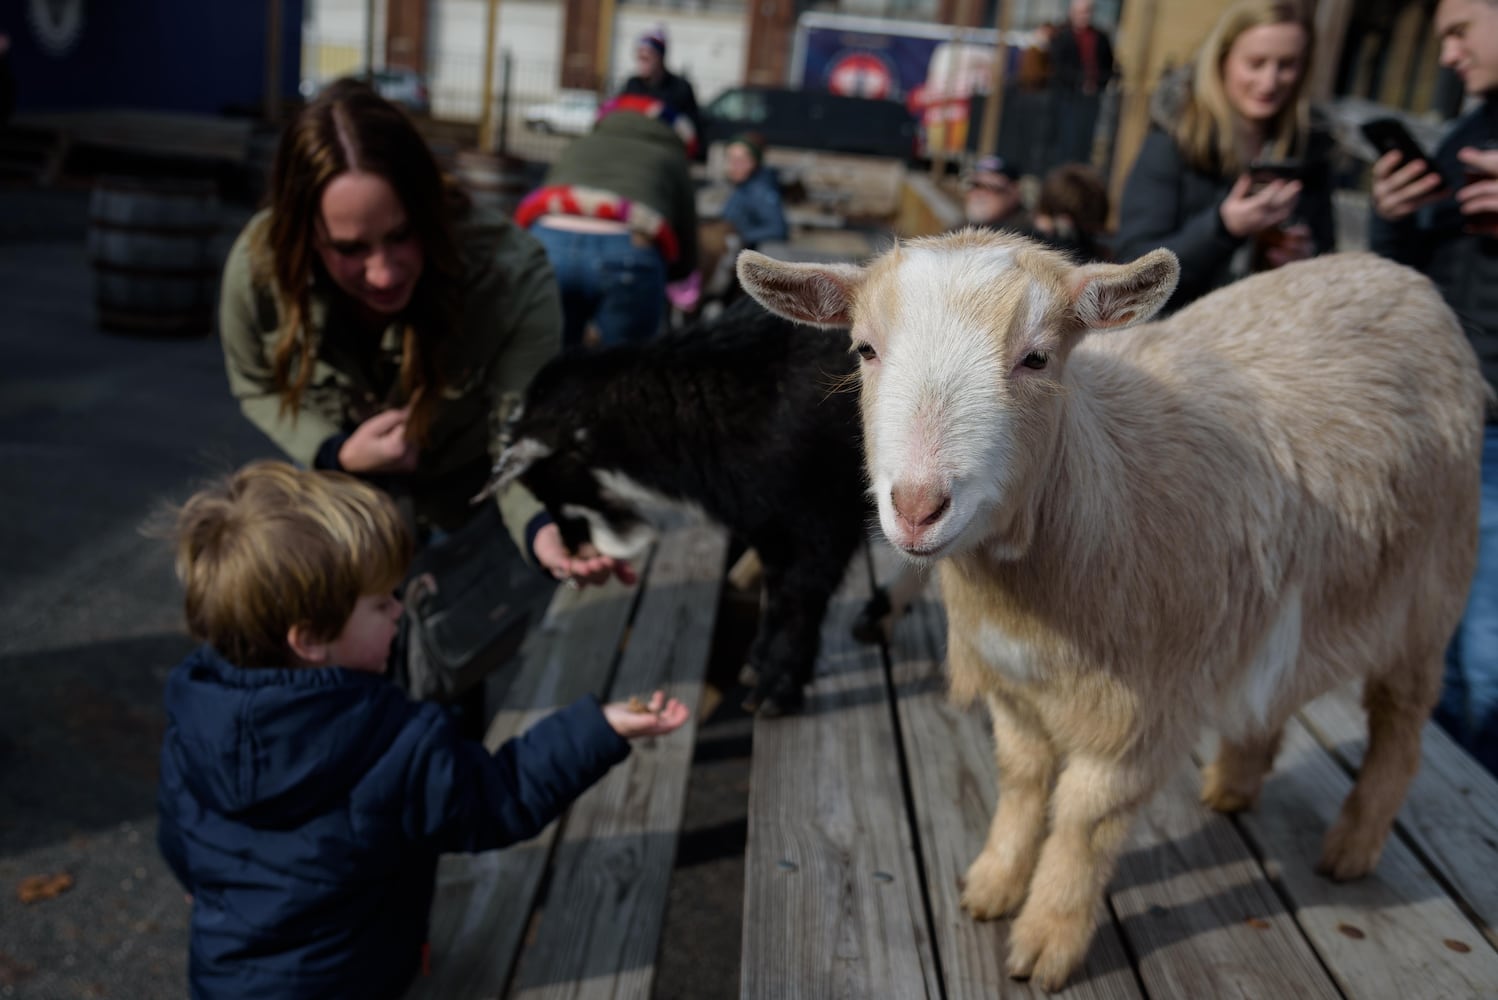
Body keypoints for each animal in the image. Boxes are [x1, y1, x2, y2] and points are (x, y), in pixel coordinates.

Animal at [485, 299, 874, 718]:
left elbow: (799, 597)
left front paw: (777, 688)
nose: (572, 553)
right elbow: (777, 593)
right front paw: (758, 661)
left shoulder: (822, 516)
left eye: (543, 483)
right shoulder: (768, 523)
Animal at [737, 232, 1486, 994]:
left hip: (1430, 592)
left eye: (1037, 358)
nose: (918, 507)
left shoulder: (1141, 706)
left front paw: (1047, 941)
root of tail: (1399, 276)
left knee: (1400, 725)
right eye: (864, 349)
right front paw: (993, 885)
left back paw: (1352, 847)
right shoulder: (1014, 686)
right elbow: (1021, 779)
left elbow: (1084, 819)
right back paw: (1233, 786)